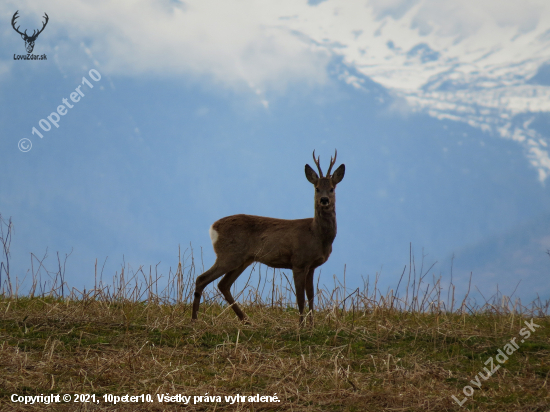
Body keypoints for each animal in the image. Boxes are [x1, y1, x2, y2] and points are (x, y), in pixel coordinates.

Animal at [190, 150, 344, 324]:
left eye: (331, 189)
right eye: (317, 188)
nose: (324, 200)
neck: (316, 234)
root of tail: (213, 227)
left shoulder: (311, 266)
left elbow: (311, 297)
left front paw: (311, 325)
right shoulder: (299, 262)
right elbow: (300, 298)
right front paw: (300, 326)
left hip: (244, 260)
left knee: (223, 284)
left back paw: (246, 320)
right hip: (229, 255)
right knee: (202, 279)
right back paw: (194, 320)